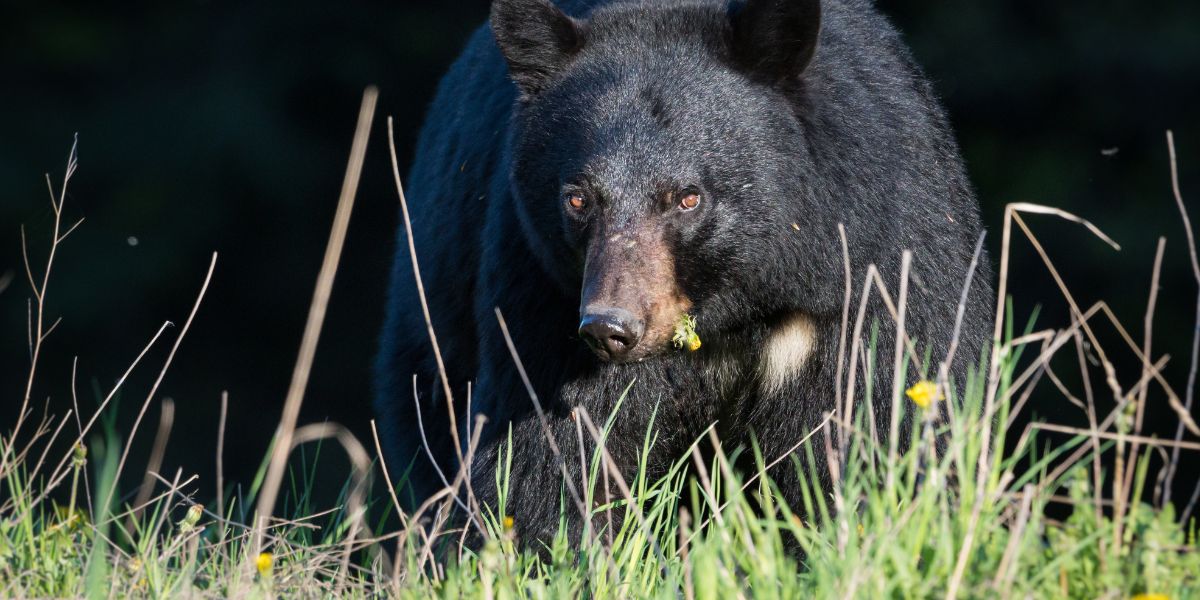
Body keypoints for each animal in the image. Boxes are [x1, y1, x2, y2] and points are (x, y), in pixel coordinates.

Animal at [374, 0, 993, 547]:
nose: (610, 327)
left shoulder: (869, 273)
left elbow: (876, 423)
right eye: (578, 199)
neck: (731, 314)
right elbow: (548, 456)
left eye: (687, 197)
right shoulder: (539, 289)